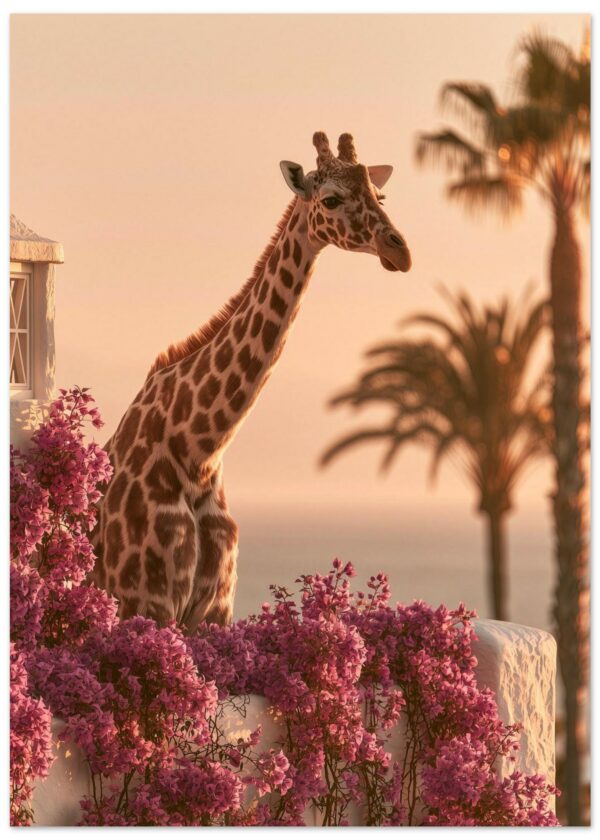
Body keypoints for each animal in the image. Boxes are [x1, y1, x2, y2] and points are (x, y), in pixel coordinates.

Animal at [91, 131, 411, 633]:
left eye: (380, 197)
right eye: (331, 199)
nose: (400, 252)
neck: (198, 450)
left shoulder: (214, 610)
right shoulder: (144, 601)